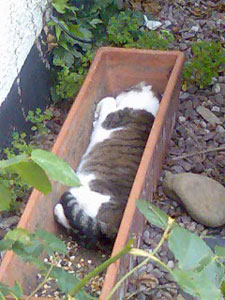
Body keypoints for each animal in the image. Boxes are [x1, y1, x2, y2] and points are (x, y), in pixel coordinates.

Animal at [53, 82, 159, 248]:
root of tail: (114, 227)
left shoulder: (111, 117)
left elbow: (108, 100)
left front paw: (97, 114)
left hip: (81, 195)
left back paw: (58, 209)